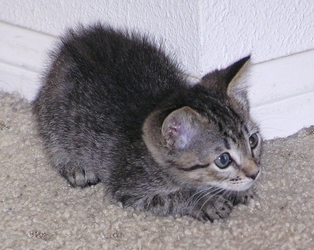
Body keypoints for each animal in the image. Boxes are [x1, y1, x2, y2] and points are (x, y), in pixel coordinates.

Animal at [32, 23, 262, 223]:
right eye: (223, 160)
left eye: (253, 141)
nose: (255, 173)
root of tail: (77, 40)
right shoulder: (131, 190)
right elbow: (174, 198)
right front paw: (206, 202)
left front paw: (232, 192)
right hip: (54, 116)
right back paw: (74, 167)